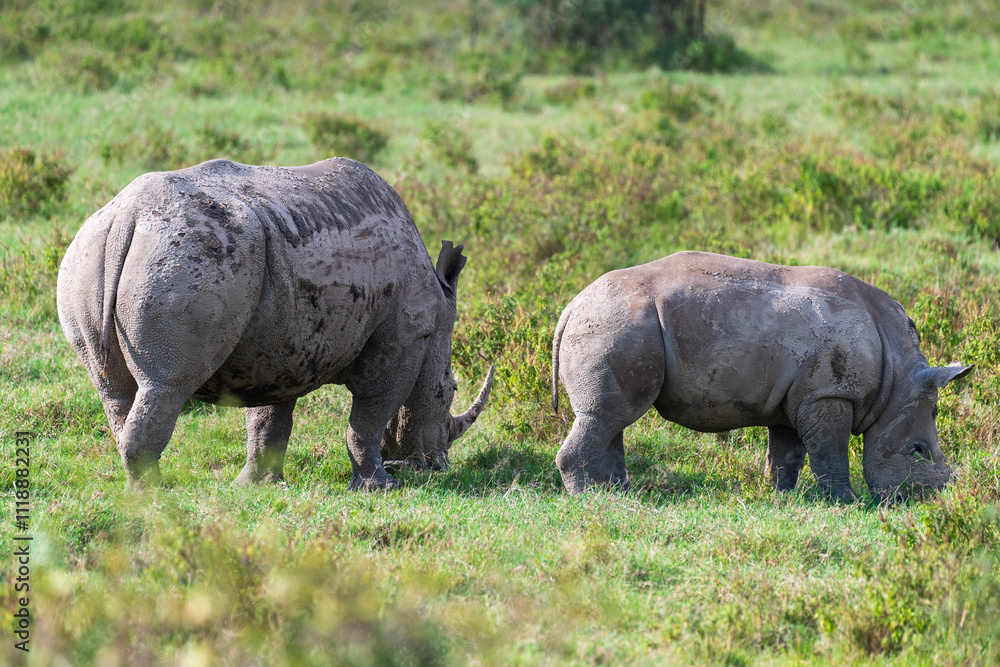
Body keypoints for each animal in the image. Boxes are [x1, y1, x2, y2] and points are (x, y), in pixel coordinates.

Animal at [57, 158, 493, 491]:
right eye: (449, 389)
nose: (437, 465)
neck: (436, 312)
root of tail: (126, 218)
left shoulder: (282, 348)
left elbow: (269, 419)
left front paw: (259, 486)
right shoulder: (402, 338)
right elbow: (369, 416)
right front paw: (380, 486)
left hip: (87, 255)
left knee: (114, 390)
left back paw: (139, 487)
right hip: (186, 255)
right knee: (166, 385)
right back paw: (155, 494)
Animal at [551, 251, 972, 502]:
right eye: (918, 450)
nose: (931, 499)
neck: (897, 376)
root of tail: (571, 306)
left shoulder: (799, 395)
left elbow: (788, 453)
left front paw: (781, 498)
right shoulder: (829, 392)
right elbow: (830, 451)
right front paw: (846, 503)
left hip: (614, 324)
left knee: (611, 418)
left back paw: (616, 494)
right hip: (615, 324)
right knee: (607, 415)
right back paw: (589, 500)